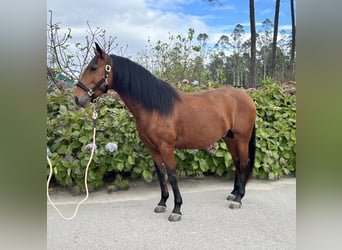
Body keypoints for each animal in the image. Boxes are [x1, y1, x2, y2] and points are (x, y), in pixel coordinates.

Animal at [73, 43, 255, 223]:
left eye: (94, 68)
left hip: (242, 138)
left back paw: (239, 198)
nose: (77, 98)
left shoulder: (166, 147)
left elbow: (172, 175)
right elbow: (161, 174)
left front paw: (177, 209)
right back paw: (234, 193)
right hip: (230, 138)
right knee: (237, 162)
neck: (155, 107)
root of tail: (247, 97)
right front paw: (162, 202)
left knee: (244, 163)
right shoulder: (152, 147)